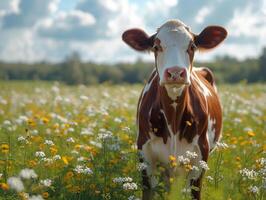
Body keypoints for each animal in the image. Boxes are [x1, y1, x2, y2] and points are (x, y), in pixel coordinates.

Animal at [122, 19, 227, 200]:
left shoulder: (201, 155)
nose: (176, 72)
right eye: (156, 46)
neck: (173, 118)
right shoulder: (145, 154)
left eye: (192, 46)